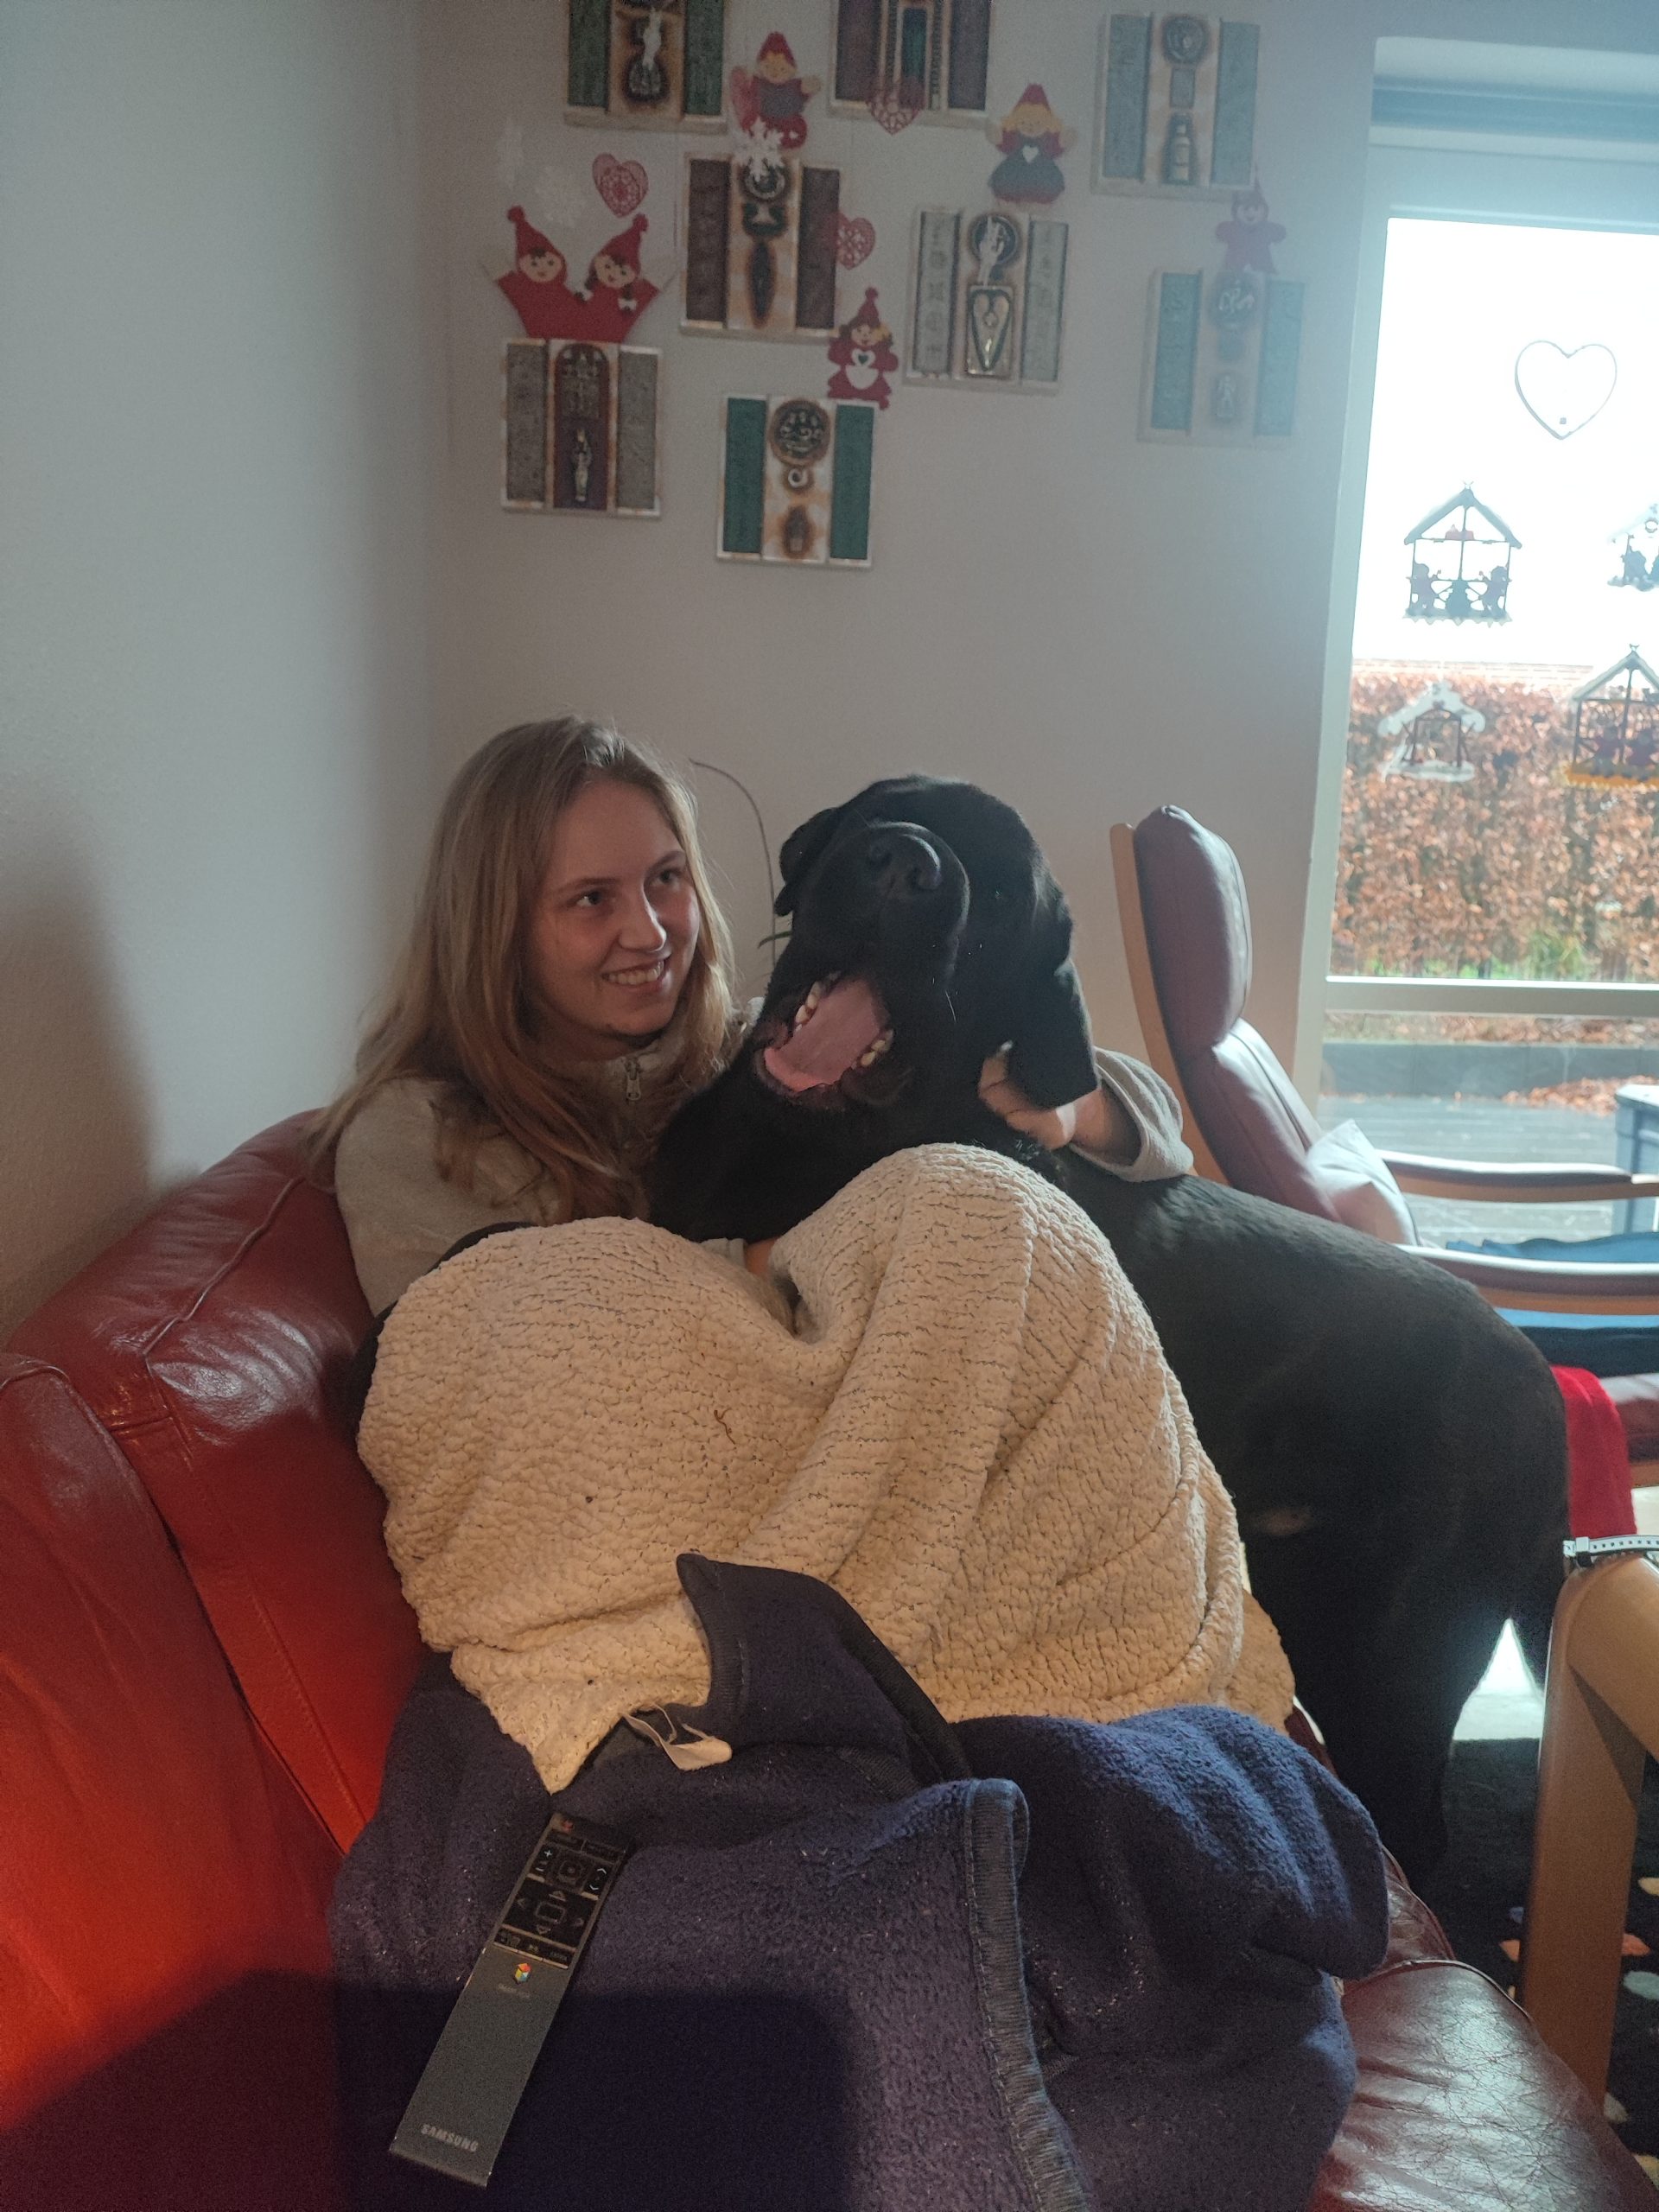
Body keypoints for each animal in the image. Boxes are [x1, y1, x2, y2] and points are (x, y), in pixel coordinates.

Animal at [651, 776, 1568, 1880]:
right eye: (887, 805)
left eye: (1004, 896)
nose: (903, 861)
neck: (788, 1140)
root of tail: (1540, 1381)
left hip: (1395, 1659)